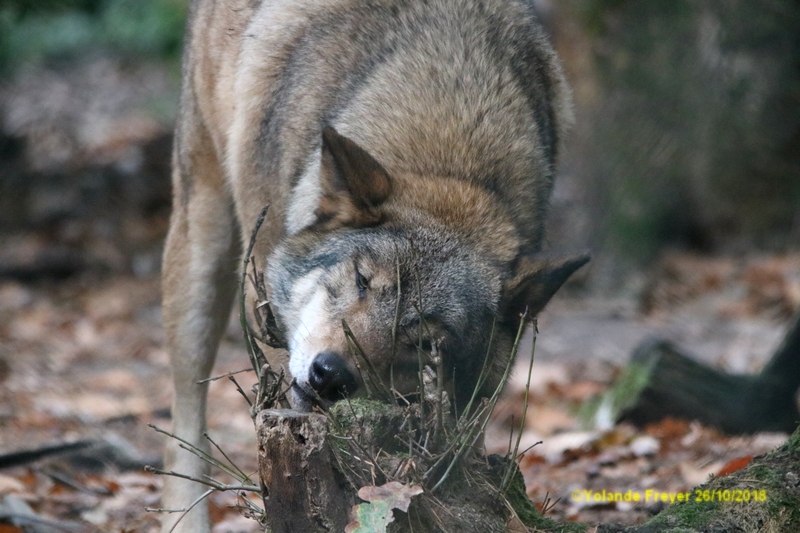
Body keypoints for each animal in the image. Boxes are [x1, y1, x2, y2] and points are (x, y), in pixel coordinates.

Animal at [162, 0, 588, 524]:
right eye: (363, 280)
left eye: (424, 342)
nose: (330, 374)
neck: (449, 156)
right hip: (203, 252)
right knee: (184, 422)